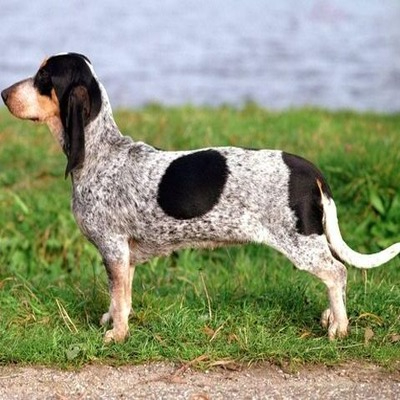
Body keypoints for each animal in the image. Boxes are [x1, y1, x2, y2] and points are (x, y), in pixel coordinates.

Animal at [3, 51, 400, 342]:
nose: (4, 94)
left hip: (302, 245)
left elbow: (119, 297)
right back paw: (331, 317)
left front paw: (116, 335)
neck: (103, 152)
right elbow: (121, 299)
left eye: (43, 78)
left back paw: (339, 327)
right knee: (336, 276)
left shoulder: (114, 249)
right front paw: (113, 321)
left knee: (337, 273)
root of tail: (311, 170)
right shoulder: (125, 256)